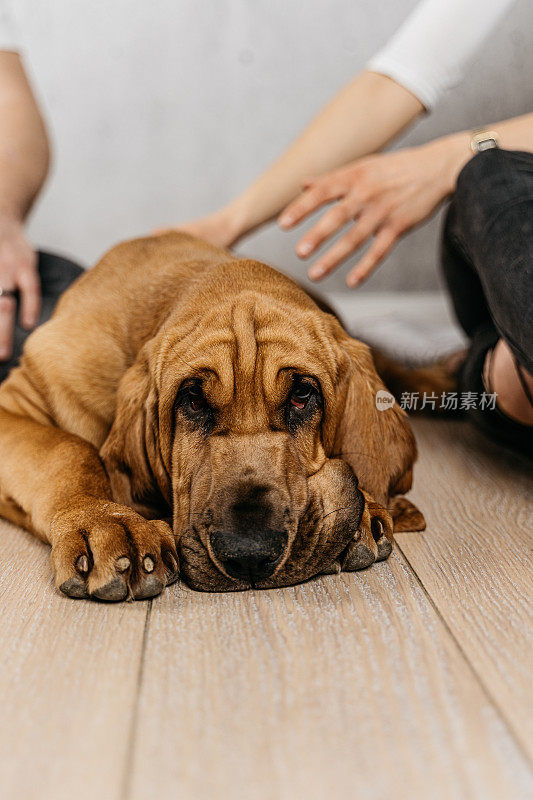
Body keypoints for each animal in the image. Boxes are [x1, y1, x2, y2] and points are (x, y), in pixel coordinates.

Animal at [0, 233, 424, 600]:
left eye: (303, 395)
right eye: (193, 400)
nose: (250, 553)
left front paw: (367, 512)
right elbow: (70, 450)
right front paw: (103, 522)